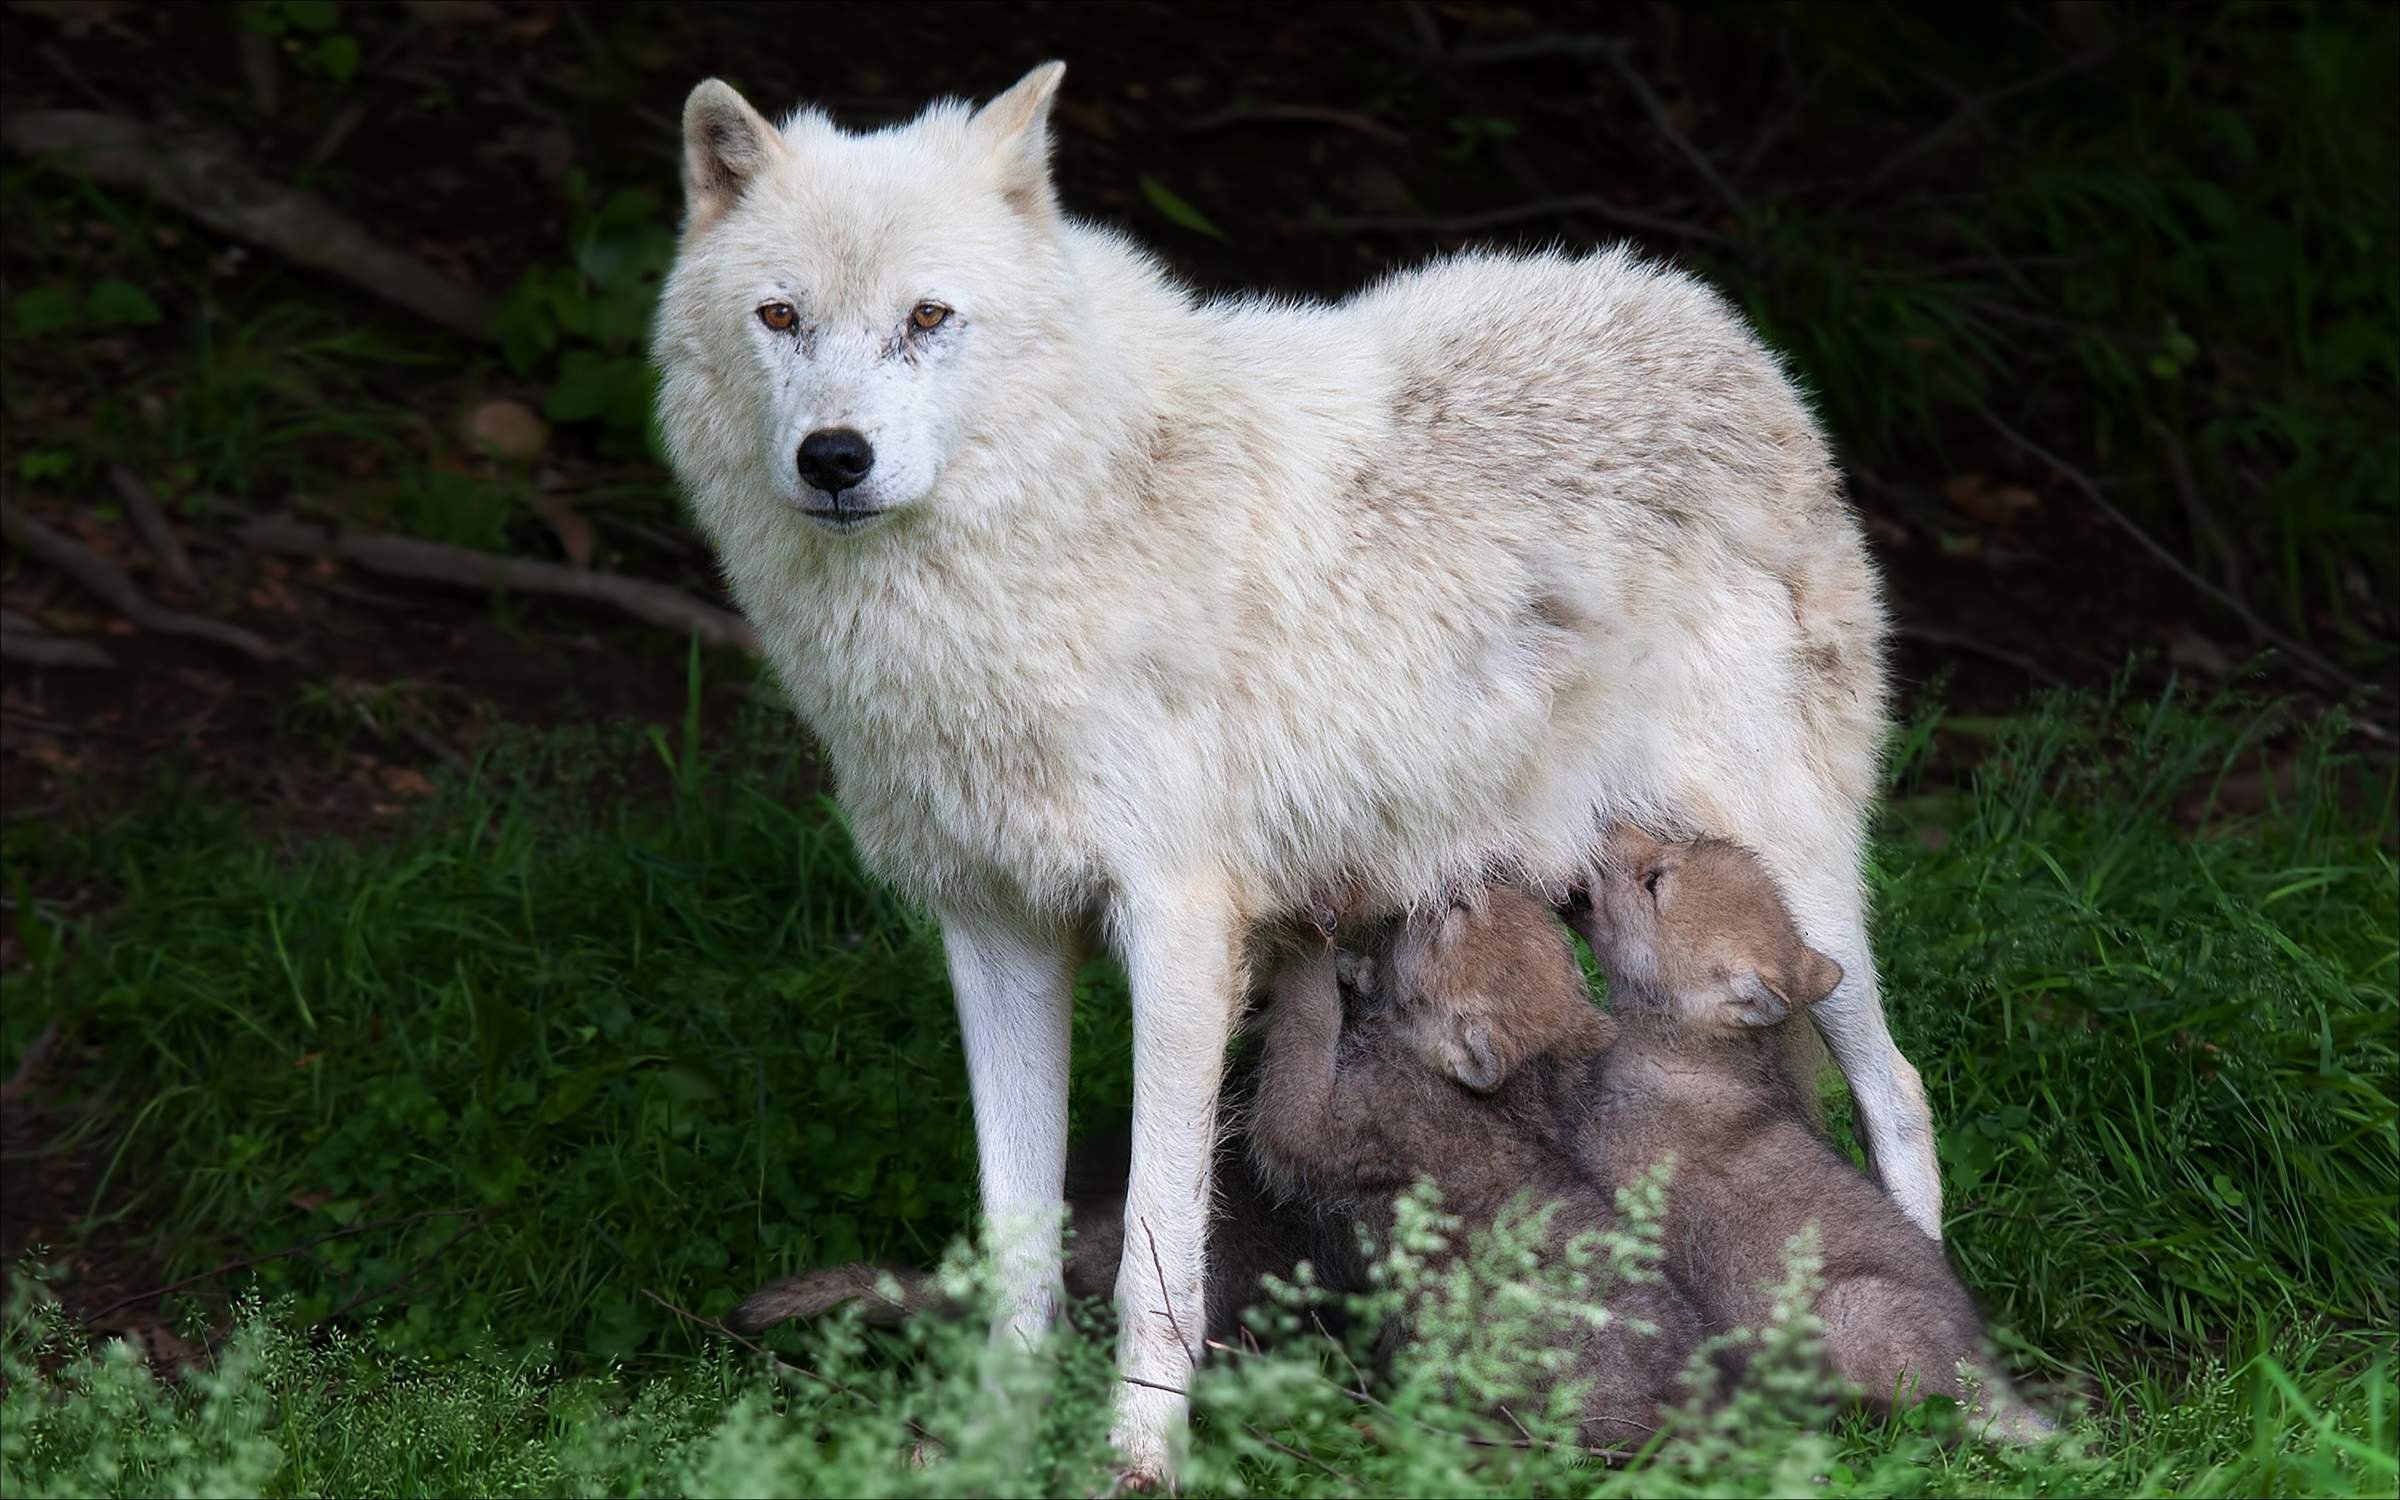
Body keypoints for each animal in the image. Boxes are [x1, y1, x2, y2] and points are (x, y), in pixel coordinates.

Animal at [657, 64, 1948, 1478]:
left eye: (927, 317)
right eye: (782, 316)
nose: (833, 457)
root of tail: (1716, 327)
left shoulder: (1176, 931)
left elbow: (1154, 1251)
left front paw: (1139, 1461)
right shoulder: (995, 931)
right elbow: (1015, 1249)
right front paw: (996, 1445)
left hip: (1798, 889)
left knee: (1900, 1093)